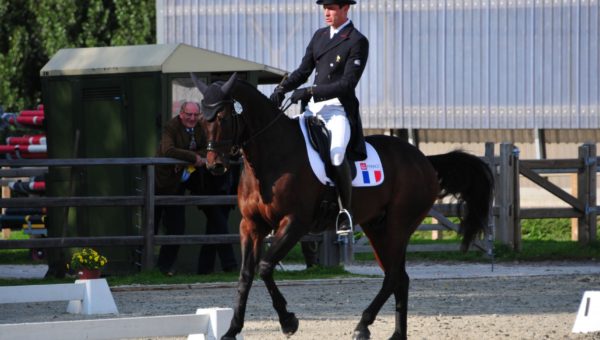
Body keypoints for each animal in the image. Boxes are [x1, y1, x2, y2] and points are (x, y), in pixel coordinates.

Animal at [191, 74, 492, 340]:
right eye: (201, 121)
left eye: (222, 117)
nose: (215, 165)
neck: (272, 156)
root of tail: (424, 160)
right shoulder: (251, 226)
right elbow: (245, 276)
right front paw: (231, 331)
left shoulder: (295, 223)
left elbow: (265, 267)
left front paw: (289, 322)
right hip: (377, 228)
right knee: (399, 277)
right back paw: (396, 334)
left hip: (398, 226)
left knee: (393, 276)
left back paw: (363, 325)